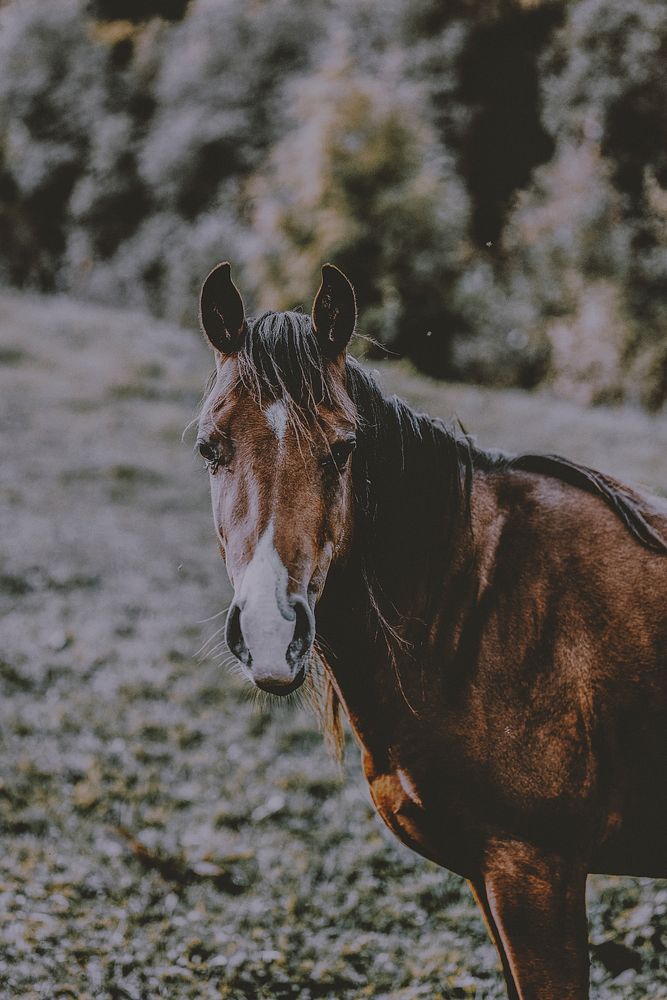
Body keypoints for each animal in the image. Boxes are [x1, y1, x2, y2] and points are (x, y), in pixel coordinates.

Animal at [194, 262, 667, 996]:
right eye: (209, 447)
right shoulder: (487, 875)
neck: (481, 608)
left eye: (344, 448)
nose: (272, 633)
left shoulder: (536, 874)